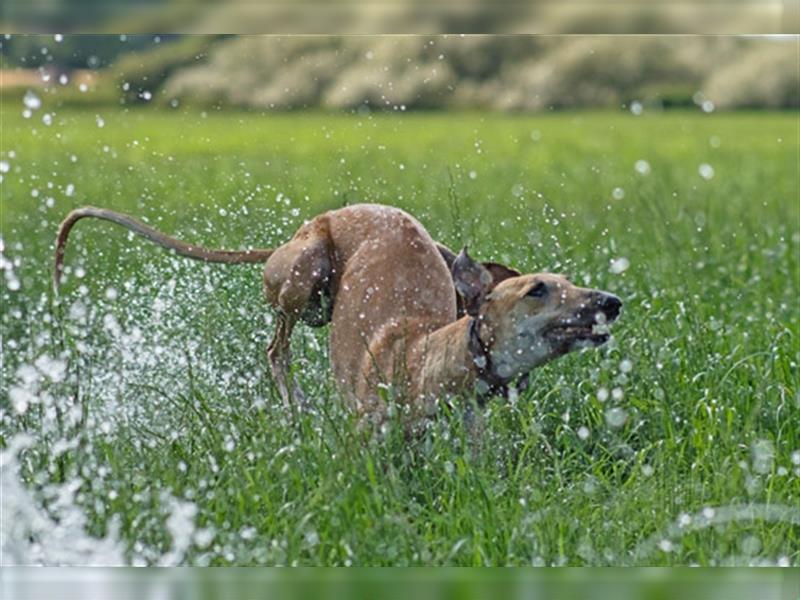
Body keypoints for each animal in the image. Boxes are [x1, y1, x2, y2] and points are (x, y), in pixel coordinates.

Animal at [56, 205, 620, 426]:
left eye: (569, 282)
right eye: (537, 290)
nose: (613, 302)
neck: (422, 354)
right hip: (304, 274)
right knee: (276, 348)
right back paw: (298, 407)